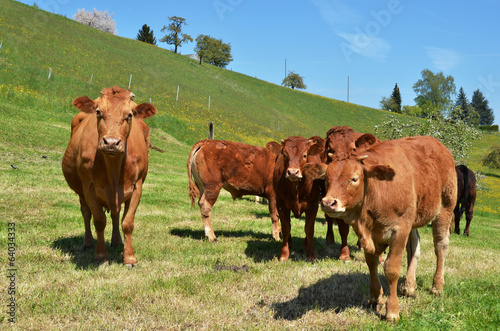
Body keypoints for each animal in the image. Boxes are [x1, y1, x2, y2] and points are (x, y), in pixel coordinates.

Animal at [304, 135, 458, 322]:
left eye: (354, 178)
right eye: (327, 178)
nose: (328, 203)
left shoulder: (400, 229)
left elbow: (391, 269)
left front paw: (392, 310)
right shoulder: (368, 233)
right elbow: (371, 263)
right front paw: (375, 297)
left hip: (445, 208)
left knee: (440, 247)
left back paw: (437, 285)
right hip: (413, 216)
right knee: (414, 246)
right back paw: (409, 286)